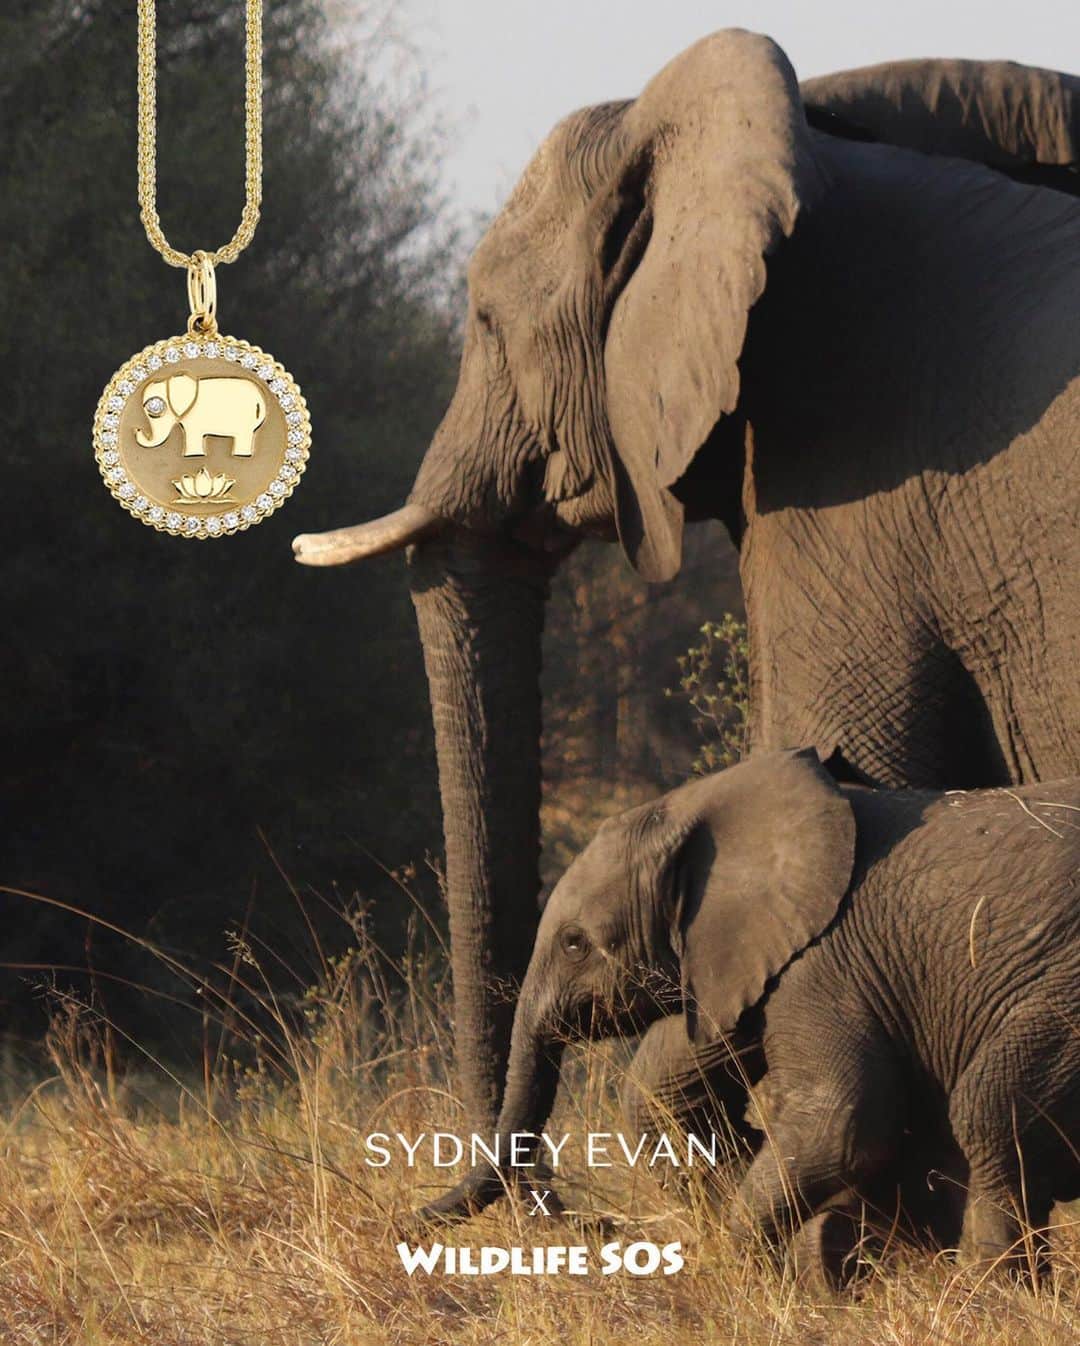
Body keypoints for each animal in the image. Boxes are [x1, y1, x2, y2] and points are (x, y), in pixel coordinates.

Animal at [420, 751, 1080, 1285]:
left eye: (575, 944)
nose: (409, 1227)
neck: (701, 807)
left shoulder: (826, 961)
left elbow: (842, 1122)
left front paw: (761, 1280)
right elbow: (663, 1097)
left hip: (1064, 989)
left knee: (988, 1113)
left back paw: (997, 1297)